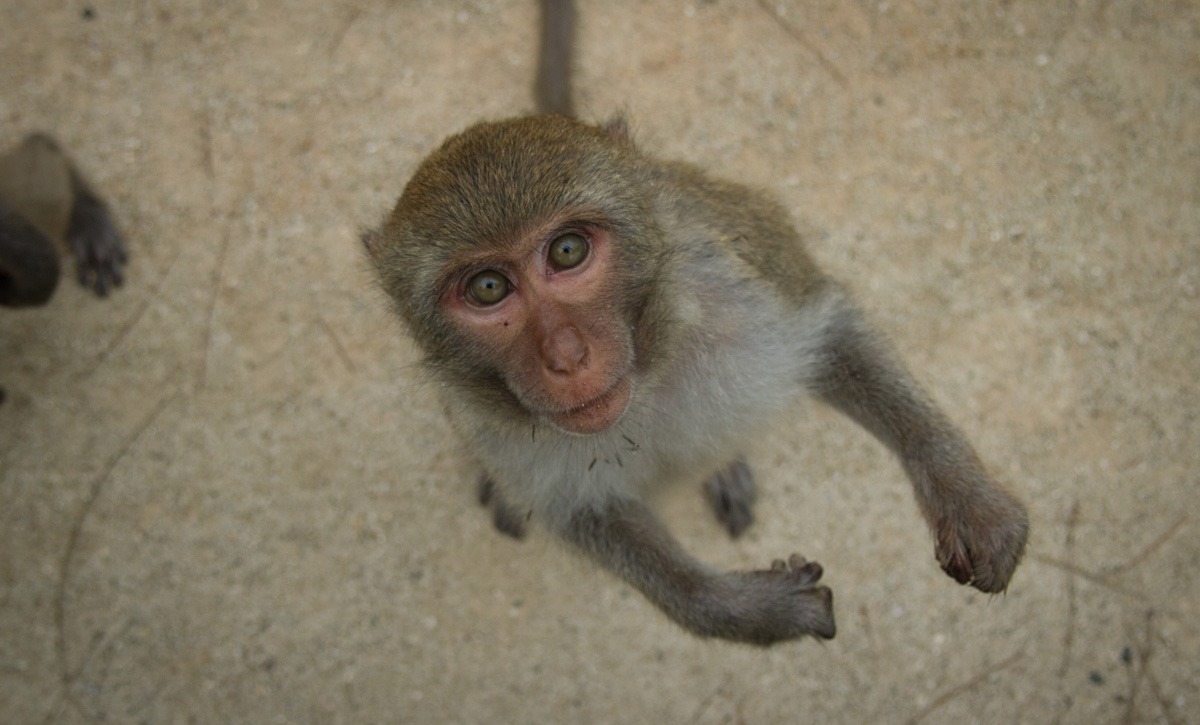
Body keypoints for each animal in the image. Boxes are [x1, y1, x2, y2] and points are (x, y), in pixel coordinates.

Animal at [361, 0, 1028, 646]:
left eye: (568, 252)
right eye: (488, 288)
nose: (567, 357)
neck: (647, 374)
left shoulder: (728, 286)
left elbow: (830, 331)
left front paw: (968, 497)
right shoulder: (492, 425)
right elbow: (590, 515)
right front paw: (750, 611)